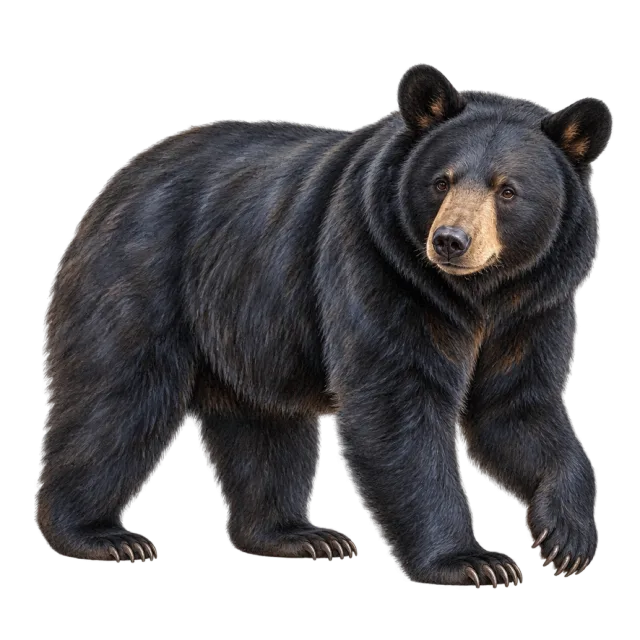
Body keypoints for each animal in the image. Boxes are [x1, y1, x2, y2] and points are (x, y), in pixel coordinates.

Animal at [37, 64, 611, 587]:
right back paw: (101, 537)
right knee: (118, 402)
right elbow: (397, 410)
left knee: (263, 429)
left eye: (507, 190)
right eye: (440, 181)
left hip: (249, 320)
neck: (476, 296)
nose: (450, 241)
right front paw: (473, 561)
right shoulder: (377, 265)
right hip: (140, 278)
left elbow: (514, 406)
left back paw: (295, 534)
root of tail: (115, 186)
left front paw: (568, 540)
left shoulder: (533, 306)